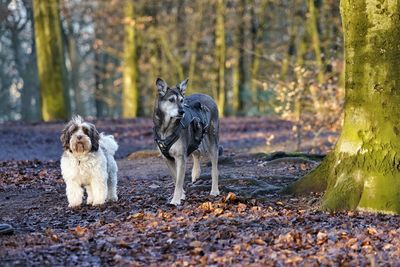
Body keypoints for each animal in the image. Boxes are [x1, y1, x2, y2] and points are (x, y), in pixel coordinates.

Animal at [154, 78, 222, 206]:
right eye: (171, 100)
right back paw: (195, 173)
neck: (167, 128)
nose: (181, 112)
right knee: (196, 152)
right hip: (195, 138)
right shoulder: (167, 158)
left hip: (212, 142)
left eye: (181, 100)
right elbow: (176, 178)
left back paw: (214, 190)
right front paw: (182, 195)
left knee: (214, 169)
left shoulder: (181, 157)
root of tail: (208, 96)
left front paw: (175, 200)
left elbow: (179, 180)